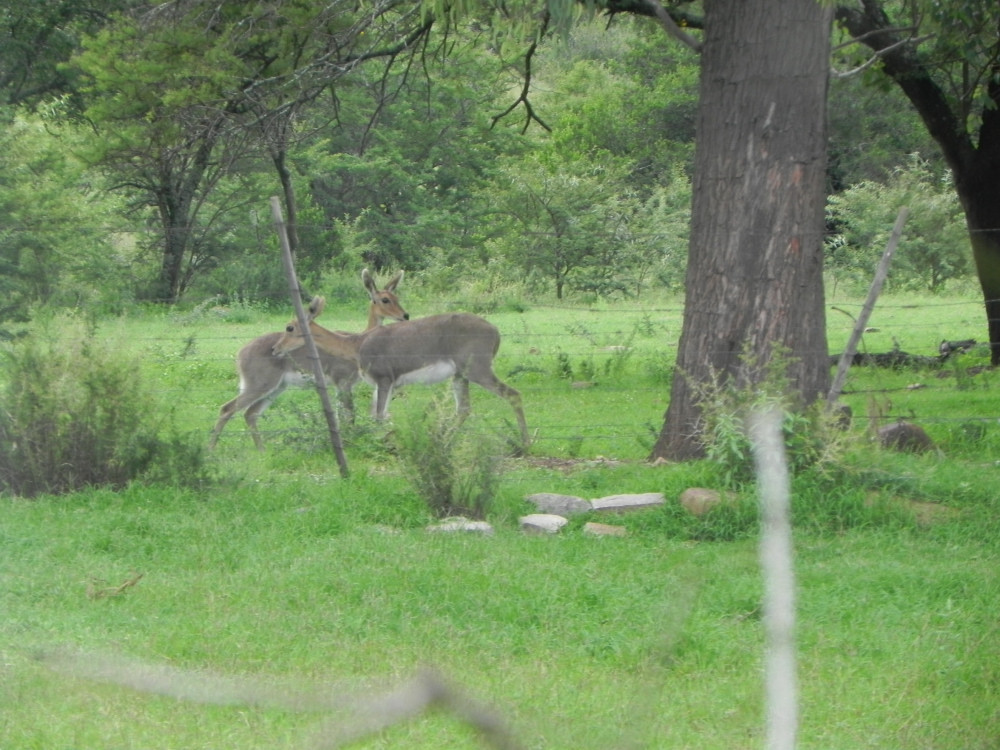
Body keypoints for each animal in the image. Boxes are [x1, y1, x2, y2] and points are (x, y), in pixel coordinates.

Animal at [207, 268, 406, 452]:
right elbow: (349, 415)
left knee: (250, 413)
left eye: (396, 297)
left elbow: (341, 416)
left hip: (277, 387)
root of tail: (240, 353)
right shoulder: (342, 381)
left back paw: (261, 450)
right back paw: (211, 449)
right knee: (227, 409)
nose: (405, 316)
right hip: (260, 385)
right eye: (385, 299)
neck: (355, 342)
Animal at [270, 306, 528, 446]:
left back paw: (525, 442)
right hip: (459, 375)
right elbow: (378, 414)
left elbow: (379, 416)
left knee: (513, 394)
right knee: (464, 409)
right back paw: (443, 438)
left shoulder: (385, 378)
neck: (356, 344)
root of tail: (495, 332)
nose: (275, 348)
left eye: (289, 327)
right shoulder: (382, 383)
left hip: (477, 369)